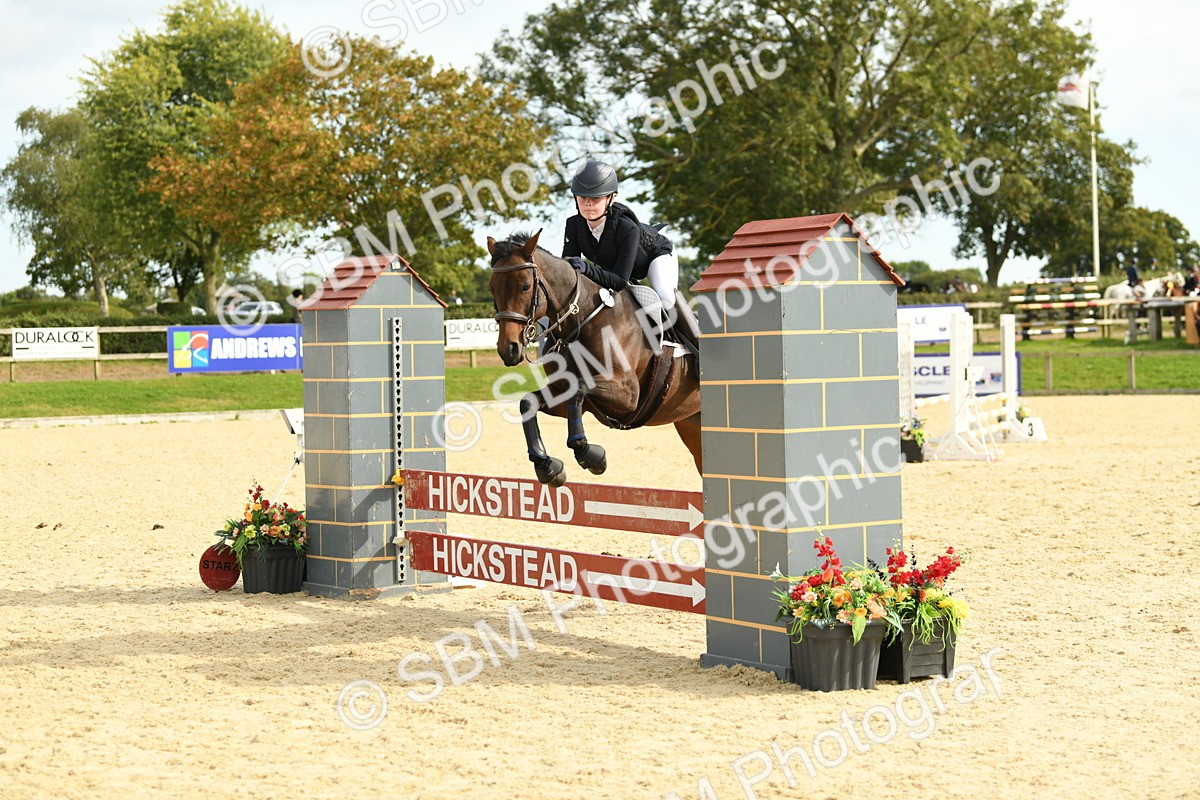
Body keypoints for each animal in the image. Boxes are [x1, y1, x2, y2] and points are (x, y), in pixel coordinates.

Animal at [485, 230, 701, 486]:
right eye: (491, 289)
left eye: (525, 286)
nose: (508, 349)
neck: (582, 321)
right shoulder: (565, 395)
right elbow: (528, 402)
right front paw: (547, 466)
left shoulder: (629, 395)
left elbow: (579, 389)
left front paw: (590, 455)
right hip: (691, 423)